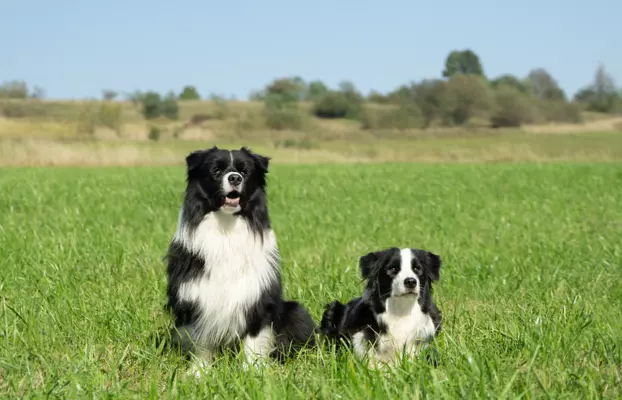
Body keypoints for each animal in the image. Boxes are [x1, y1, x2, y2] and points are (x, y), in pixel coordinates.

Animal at [166, 146, 316, 372]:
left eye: (244, 172)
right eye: (216, 170)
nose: (235, 178)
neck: (227, 227)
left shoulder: (256, 297)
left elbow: (253, 341)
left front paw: (252, 371)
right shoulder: (197, 296)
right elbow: (201, 340)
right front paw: (199, 372)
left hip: (295, 311)